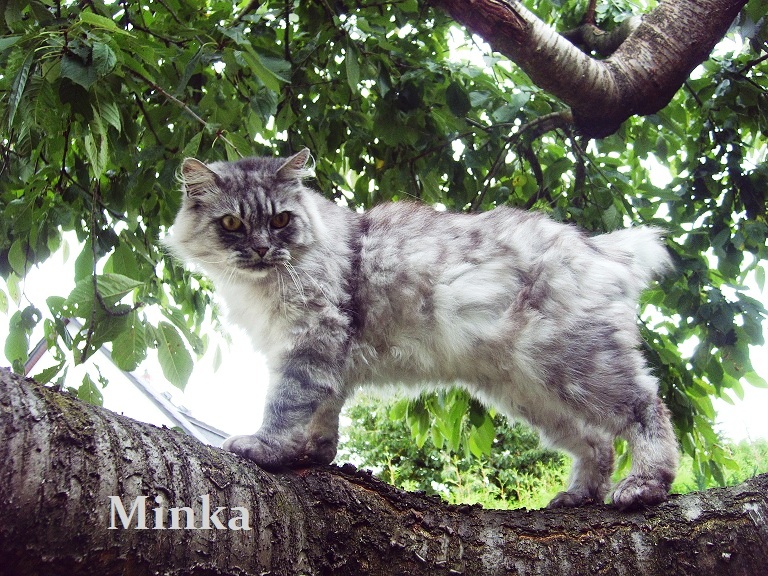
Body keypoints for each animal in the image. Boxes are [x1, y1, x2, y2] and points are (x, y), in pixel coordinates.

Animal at [166, 147, 680, 508]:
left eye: (279, 220)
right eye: (232, 223)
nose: (259, 249)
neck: (259, 285)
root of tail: (599, 248)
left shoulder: (309, 341)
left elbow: (286, 404)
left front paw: (266, 447)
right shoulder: (325, 359)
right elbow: (323, 414)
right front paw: (312, 453)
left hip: (569, 362)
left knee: (646, 406)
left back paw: (645, 484)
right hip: (531, 393)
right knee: (597, 442)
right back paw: (579, 496)